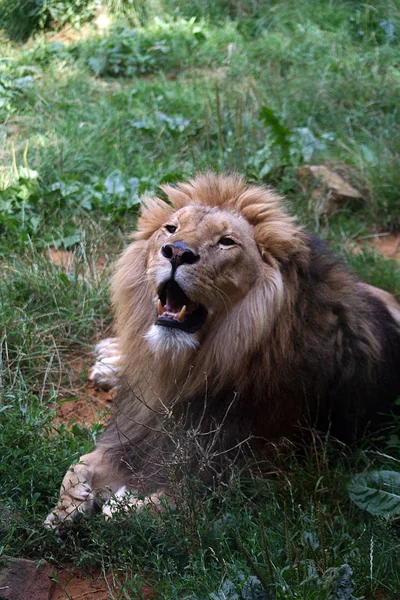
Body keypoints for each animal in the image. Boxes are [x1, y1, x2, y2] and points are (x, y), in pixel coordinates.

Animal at [43, 172, 400, 524]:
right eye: (170, 229)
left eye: (226, 242)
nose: (176, 252)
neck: (188, 367)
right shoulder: (138, 431)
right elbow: (79, 464)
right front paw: (67, 505)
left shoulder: (260, 472)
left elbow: (176, 501)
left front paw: (123, 504)